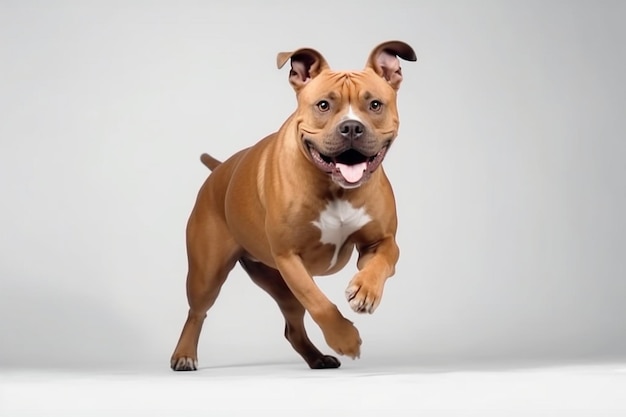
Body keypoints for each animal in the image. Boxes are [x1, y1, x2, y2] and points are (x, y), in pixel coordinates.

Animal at [169, 40, 414, 368]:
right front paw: (345, 339)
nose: (351, 127)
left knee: (292, 328)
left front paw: (365, 291)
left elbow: (382, 260)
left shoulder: (380, 241)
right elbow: (318, 302)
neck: (336, 188)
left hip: (280, 286)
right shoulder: (289, 256)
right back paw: (184, 354)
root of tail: (220, 170)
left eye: (375, 105)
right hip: (208, 275)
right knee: (197, 312)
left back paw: (318, 358)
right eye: (323, 105)